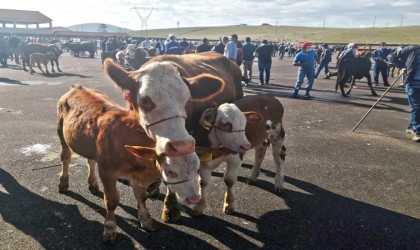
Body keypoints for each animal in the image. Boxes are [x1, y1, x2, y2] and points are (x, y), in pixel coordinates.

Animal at [57, 84, 200, 244]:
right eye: (170, 172)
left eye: (197, 169)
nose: (194, 198)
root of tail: (77, 87)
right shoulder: (107, 173)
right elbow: (112, 201)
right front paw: (110, 228)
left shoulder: (138, 176)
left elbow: (141, 198)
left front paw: (146, 220)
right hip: (61, 132)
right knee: (66, 158)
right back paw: (63, 183)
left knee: (91, 161)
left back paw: (93, 184)